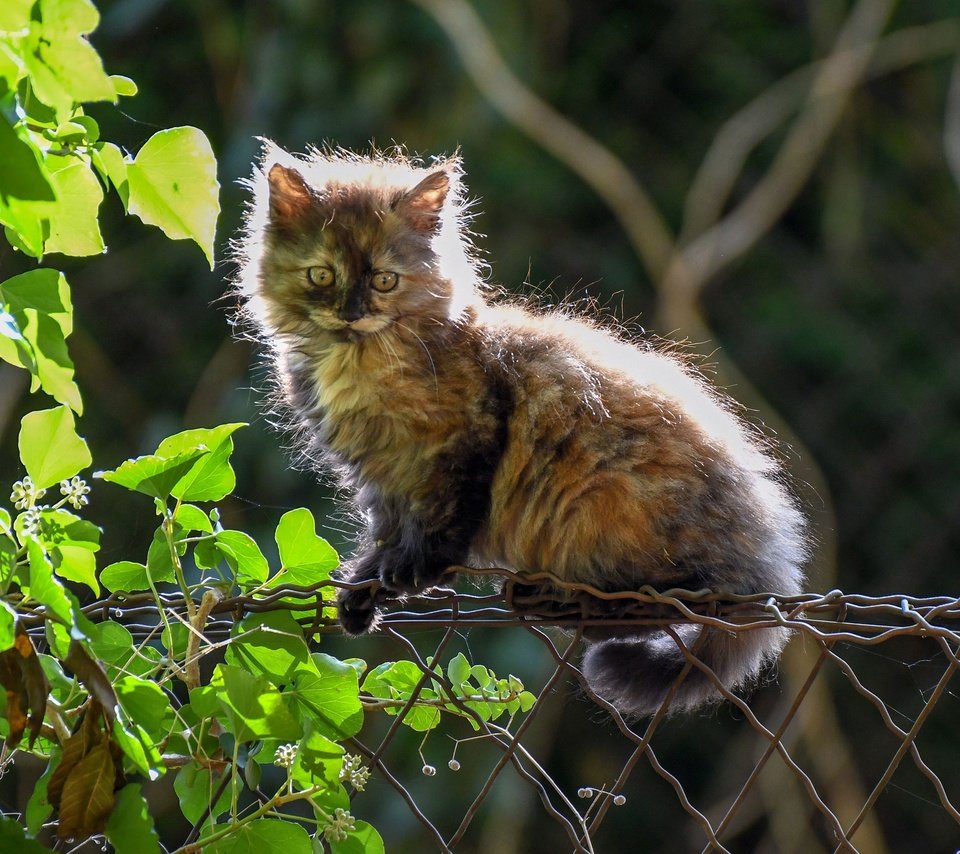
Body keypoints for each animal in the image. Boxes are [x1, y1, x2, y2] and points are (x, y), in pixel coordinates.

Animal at [236, 144, 808, 720]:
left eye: (384, 280)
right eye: (321, 276)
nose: (352, 314)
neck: (357, 362)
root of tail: (768, 555)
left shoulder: (460, 443)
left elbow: (440, 522)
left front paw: (412, 572)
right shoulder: (381, 474)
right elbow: (386, 531)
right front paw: (363, 589)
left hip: (619, 506)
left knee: (680, 601)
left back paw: (564, 603)